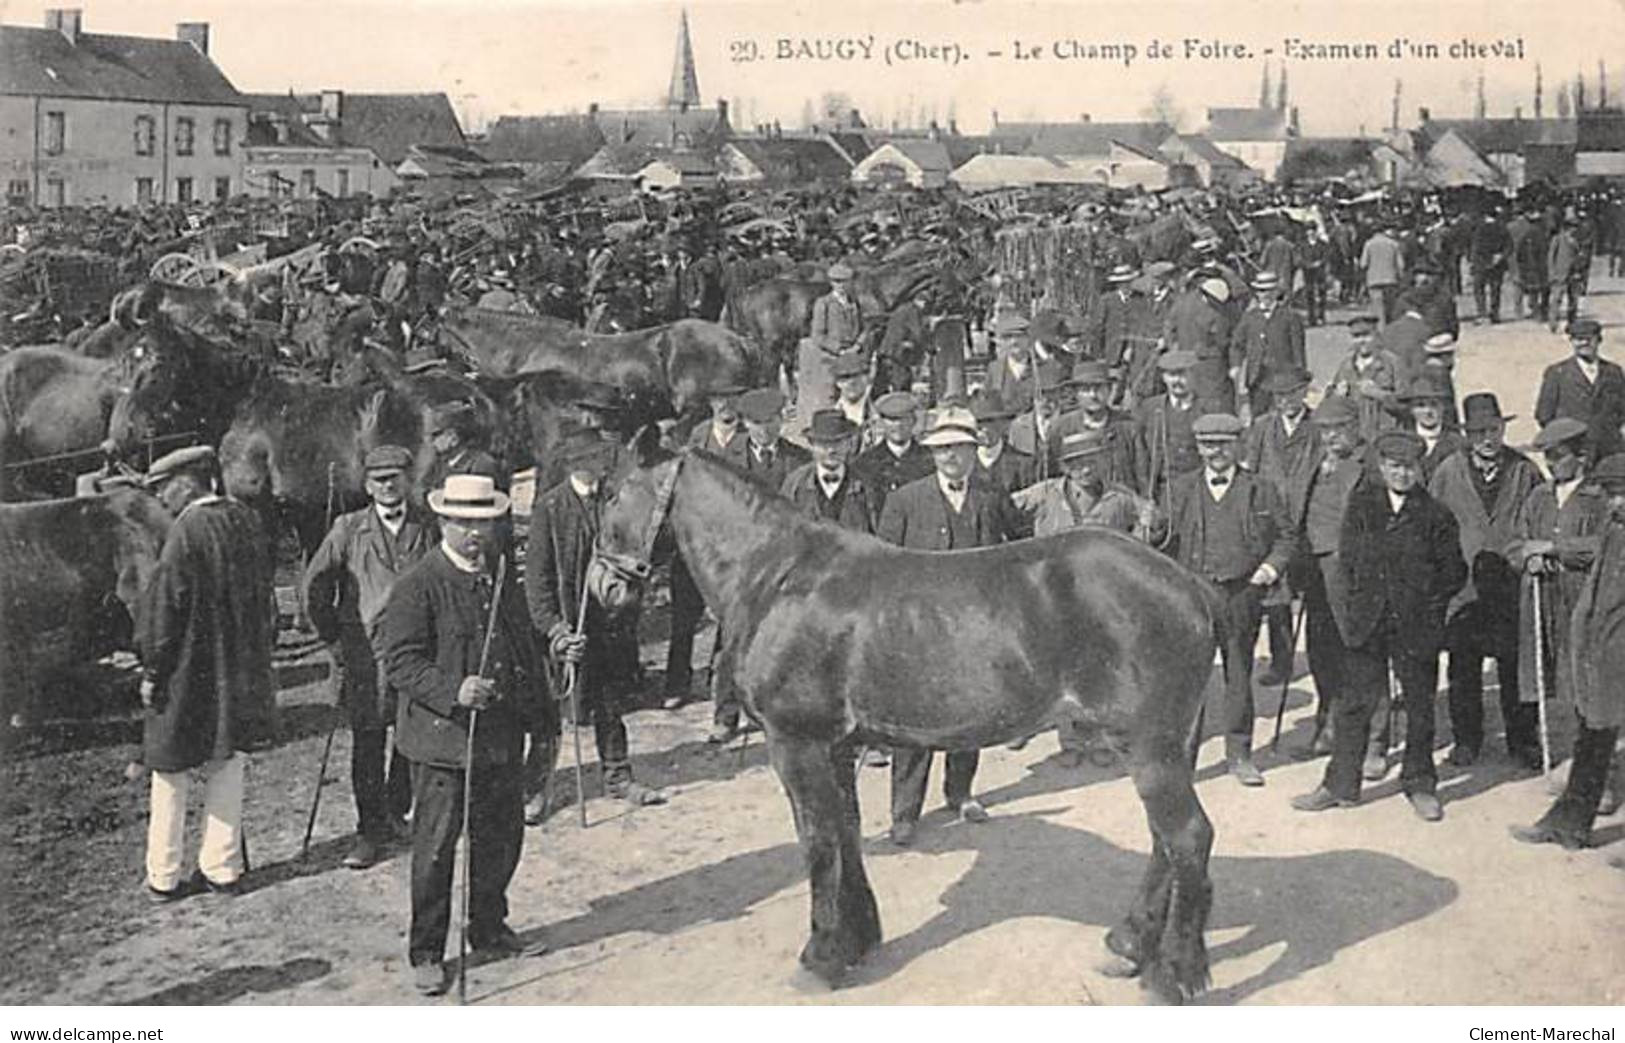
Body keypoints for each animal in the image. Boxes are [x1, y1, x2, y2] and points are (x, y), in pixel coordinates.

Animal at [594, 448, 1222, 1000]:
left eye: (616, 494)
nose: (605, 586)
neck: (781, 576)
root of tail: (1191, 585)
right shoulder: (836, 747)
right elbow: (846, 832)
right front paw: (858, 940)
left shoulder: (795, 743)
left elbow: (817, 841)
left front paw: (820, 956)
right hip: (1167, 747)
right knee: (1164, 842)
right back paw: (1129, 945)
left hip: (1150, 747)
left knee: (1187, 837)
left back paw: (1174, 975)